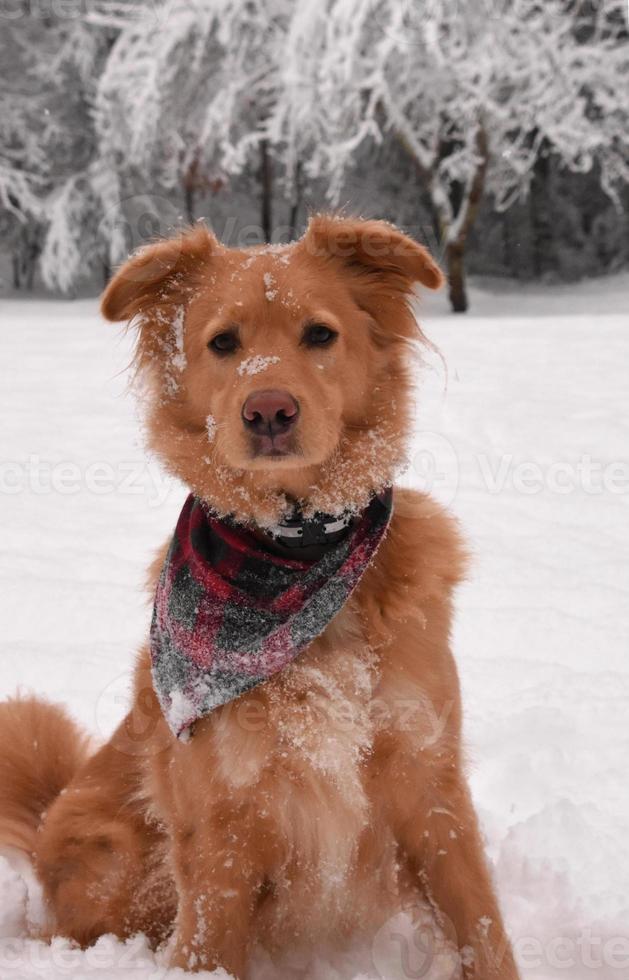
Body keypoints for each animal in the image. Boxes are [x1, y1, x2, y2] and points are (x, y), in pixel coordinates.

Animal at [0, 216, 516, 980]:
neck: (292, 556)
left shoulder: (430, 786)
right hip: (124, 863)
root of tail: (45, 819)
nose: (268, 409)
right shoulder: (220, 824)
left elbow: (482, 926)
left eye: (320, 334)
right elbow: (210, 949)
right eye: (223, 343)